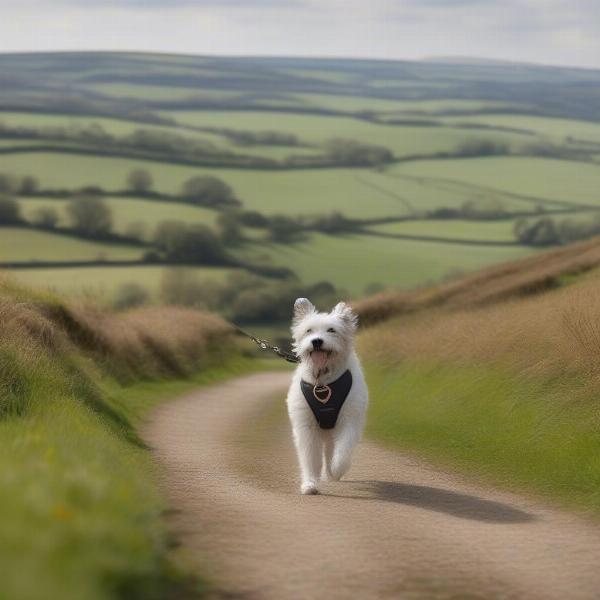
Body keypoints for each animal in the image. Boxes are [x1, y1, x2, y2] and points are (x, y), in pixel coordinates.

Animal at [284, 298, 366, 494]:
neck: (323, 381)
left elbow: (343, 450)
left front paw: (336, 470)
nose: (317, 341)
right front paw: (309, 483)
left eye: (331, 330)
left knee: (332, 450)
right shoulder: (306, 426)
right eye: (309, 330)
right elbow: (309, 457)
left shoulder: (349, 420)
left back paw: (331, 471)